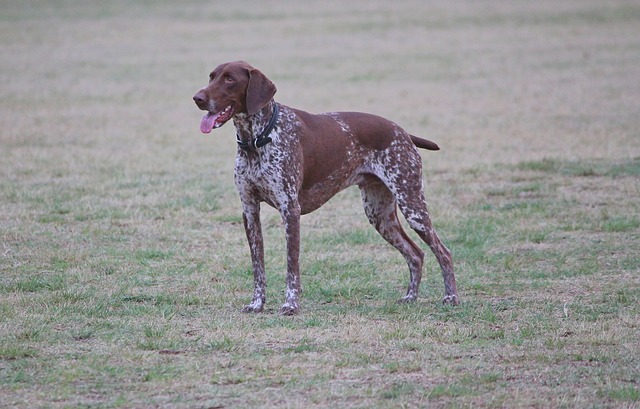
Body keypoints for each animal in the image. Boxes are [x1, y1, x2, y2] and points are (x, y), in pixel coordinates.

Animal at [192, 61, 458, 316]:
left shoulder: (290, 210)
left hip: (412, 205)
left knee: (443, 252)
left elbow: (292, 266)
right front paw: (257, 304)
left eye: (229, 79)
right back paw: (410, 297)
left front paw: (291, 305)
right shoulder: (249, 210)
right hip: (380, 215)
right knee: (416, 254)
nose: (197, 98)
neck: (258, 138)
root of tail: (402, 131)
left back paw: (450, 298)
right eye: (211, 76)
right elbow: (258, 265)